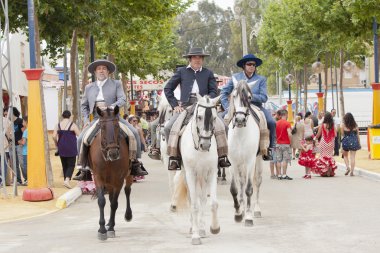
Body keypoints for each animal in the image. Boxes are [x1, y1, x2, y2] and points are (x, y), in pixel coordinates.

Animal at [88, 105, 133, 240]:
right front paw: (102, 229)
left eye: (117, 125)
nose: (113, 153)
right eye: (102, 127)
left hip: (128, 175)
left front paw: (111, 228)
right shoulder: (98, 178)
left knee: (127, 190)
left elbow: (114, 203)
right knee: (110, 196)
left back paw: (127, 215)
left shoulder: (119, 180)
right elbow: (102, 201)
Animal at [175, 94, 220, 244]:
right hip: (188, 176)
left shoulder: (211, 172)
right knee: (192, 199)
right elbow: (194, 204)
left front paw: (214, 228)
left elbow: (213, 203)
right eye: (199, 117)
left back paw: (202, 229)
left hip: (202, 177)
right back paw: (192, 228)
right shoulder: (190, 174)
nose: (205, 144)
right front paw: (195, 236)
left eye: (214, 117)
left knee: (203, 199)